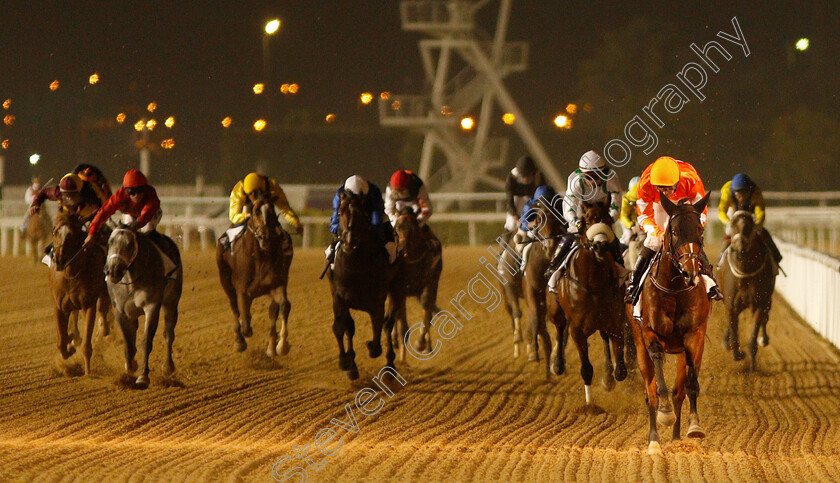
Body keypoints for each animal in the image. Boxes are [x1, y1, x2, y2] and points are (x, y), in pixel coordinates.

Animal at [217, 199, 296, 356]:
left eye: (271, 212)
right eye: (255, 212)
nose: (264, 236)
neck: (259, 258)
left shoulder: (276, 284)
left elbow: (284, 306)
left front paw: (282, 345)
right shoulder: (242, 290)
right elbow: (245, 325)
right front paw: (240, 339)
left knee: (272, 311)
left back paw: (271, 347)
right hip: (226, 282)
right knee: (235, 307)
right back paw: (239, 340)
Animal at [632, 193, 712, 454]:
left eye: (699, 229)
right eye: (674, 231)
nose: (690, 272)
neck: (676, 288)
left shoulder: (694, 337)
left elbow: (691, 385)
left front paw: (694, 426)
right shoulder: (650, 334)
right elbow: (658, 389)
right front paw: (665, 414)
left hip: (681, 351)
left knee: (679, 392)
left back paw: (676, 439)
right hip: (639, 347)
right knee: (650, 392)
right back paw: (655, 441)